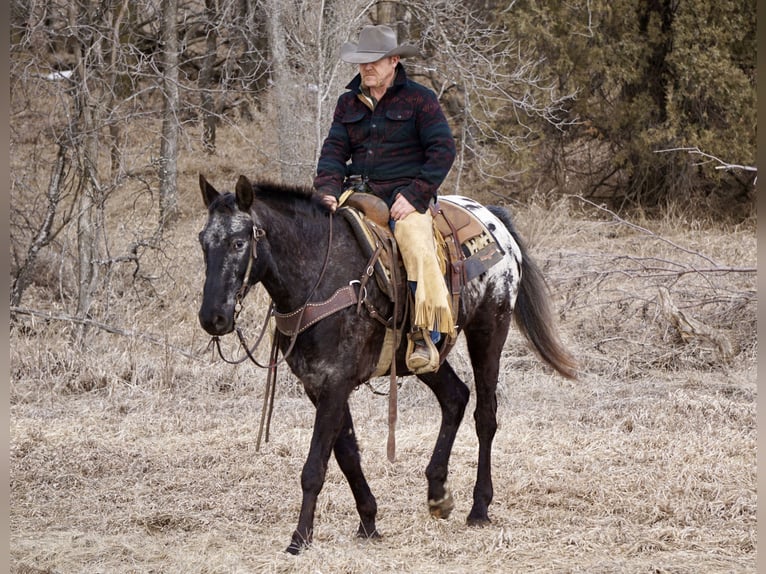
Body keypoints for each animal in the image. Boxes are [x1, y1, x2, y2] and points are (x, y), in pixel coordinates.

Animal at [198, 174, 576, 552]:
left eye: (238, 243)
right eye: (204, 242)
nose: (212, 318)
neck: (319, 276)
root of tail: (494, 221)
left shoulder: (334, 385)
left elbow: (315, 466)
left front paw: (300, 538)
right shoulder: (319, 386)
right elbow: (347, 455)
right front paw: (368, 521)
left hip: (489, 330)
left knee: (485, 415)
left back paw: (479, 507)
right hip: (426, 357)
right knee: (455, 397)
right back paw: (437, 493)